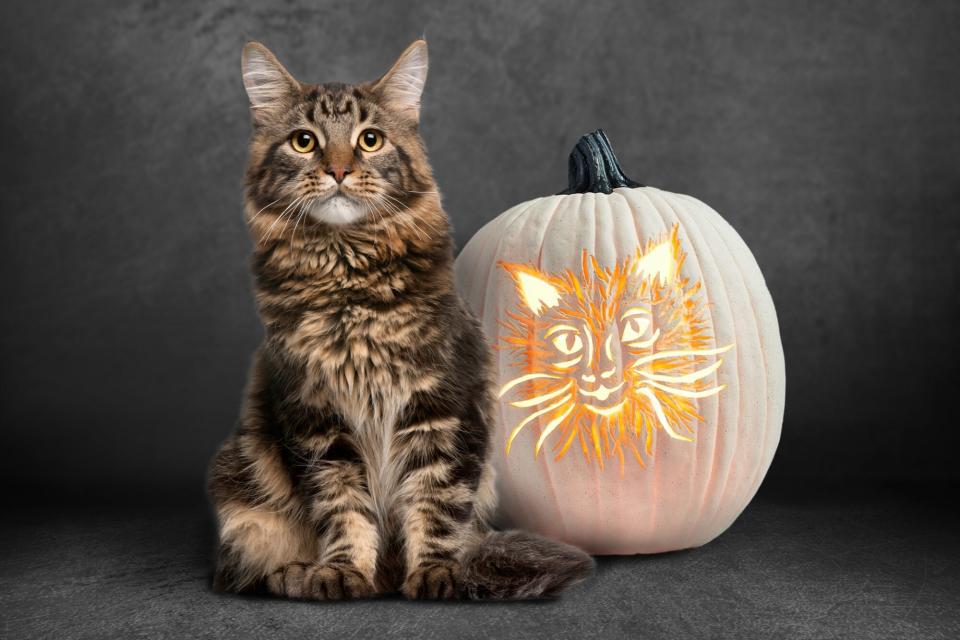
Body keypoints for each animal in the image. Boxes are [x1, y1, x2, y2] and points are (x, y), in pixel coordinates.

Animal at [206, 40, 588, 600]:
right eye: (304, 142)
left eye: (370, 140)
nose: (339, 170)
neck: (348, 282)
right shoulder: (318, 420)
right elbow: (343, 507)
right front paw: (343, 572)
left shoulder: (442, 409)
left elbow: (436, 505)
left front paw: (437, 573)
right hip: (240, 477)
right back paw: (295, 574)